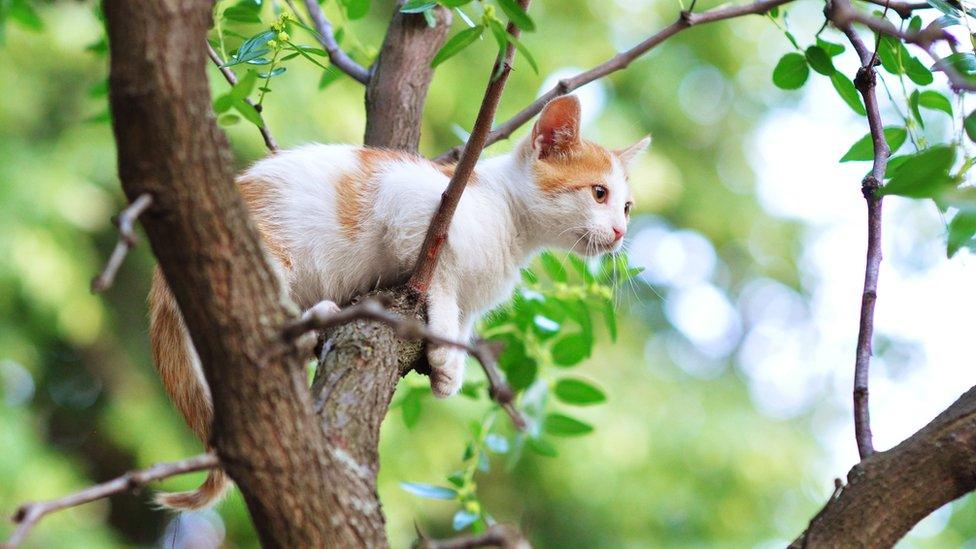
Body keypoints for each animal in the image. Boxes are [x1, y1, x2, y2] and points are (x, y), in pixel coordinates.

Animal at [149, 95, 648, 510]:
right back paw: (312, 321)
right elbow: (441, 282)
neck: (513, 225)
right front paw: (443, 347)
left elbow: (464, 317)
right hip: (263, 255)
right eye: (598, 193)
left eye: (626, 207)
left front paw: (452, 364)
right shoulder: (414, 203)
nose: (621, 233)